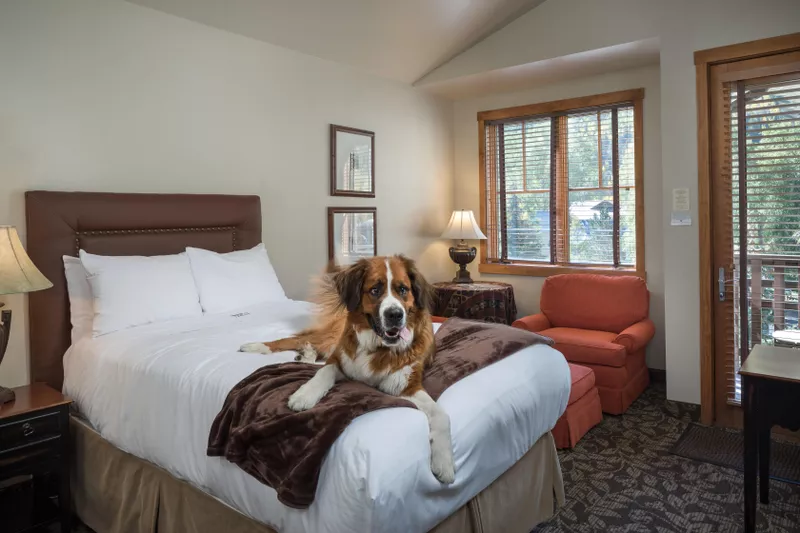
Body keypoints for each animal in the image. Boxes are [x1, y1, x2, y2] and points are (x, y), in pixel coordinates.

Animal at [239, 256, 456, 484]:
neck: (378, 347)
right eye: (375, 290)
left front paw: (444, 463)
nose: (395, 314)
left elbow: (441, 415)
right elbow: (323, 372)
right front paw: (304, 395)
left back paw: (305, 355)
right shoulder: (339, 359)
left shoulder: (405, 386)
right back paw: (258, 346)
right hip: (330, 339)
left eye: (403, 289)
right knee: (294, 340)